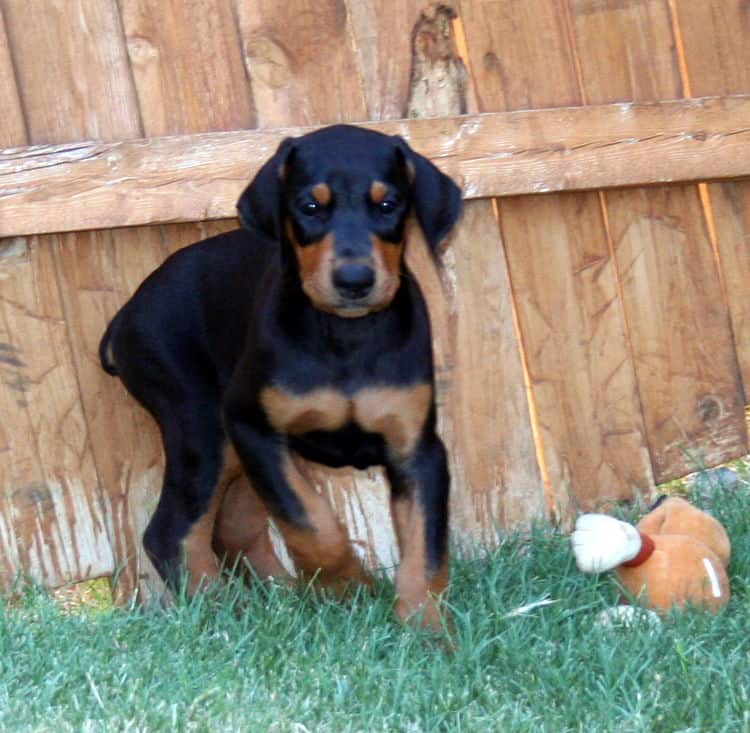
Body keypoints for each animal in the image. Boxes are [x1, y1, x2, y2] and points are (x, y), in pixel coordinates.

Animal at [100, 123, 464, 628]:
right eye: (309, 207)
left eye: (388, 204)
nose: (355, 280)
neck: (345, 336)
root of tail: (125, 314)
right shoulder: (252, 425)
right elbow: (311, 522)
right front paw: (350, 588)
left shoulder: (418, 450)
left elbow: (424, 555)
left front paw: (426, 630)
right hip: (202, 426)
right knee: (172, 531)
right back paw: (224, 613)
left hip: (235, 450)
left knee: (233, 526)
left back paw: (280, 603)